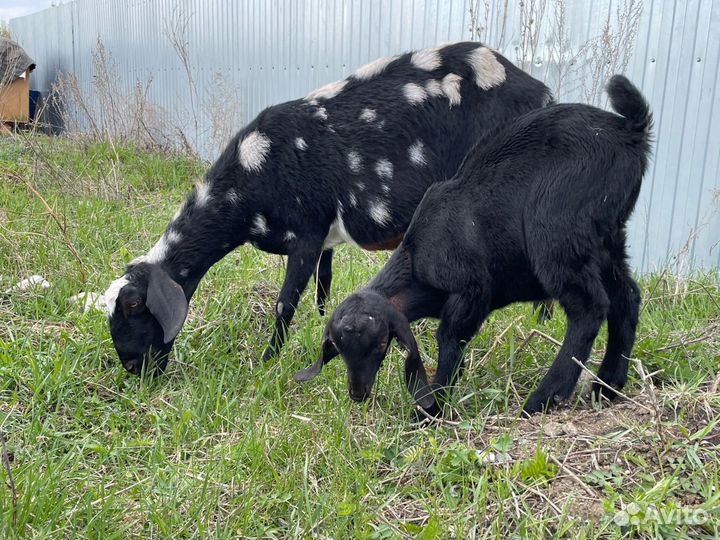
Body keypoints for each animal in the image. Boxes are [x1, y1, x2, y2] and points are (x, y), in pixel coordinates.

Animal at [104, 42, 552, 374]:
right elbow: (324, 287)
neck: (252, 175)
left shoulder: (308, 230)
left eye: (133, 305)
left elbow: (285, 303)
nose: (133, 368)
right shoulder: (323, 242)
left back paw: (543, 319)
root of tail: (540, 90)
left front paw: (267, 361)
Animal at [296, 74, 656, 416]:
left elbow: (450, 338)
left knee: (589, 307)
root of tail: (630, 131)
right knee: (626, 297)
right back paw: (607, 386)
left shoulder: (471, 291)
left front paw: (432, 408)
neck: (416, 257)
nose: (358, 392)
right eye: (339, 348)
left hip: (557, 230)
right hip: (606, 238)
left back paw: (543, 399)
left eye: (381, 342)